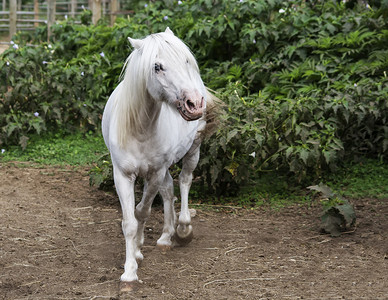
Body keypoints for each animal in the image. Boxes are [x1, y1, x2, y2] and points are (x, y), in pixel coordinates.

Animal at [101, 27, 214, 290]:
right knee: (169, 190)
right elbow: (130, 221)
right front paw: (130, 268)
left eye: (186, 60)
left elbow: (142, 212)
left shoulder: (155, 172)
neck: (140, 128)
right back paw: (165, 236)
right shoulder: (123, 175)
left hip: (193, 150)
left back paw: (182, 229)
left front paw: (136, 256)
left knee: (184, 181)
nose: (194, 103)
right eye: (157, 67)